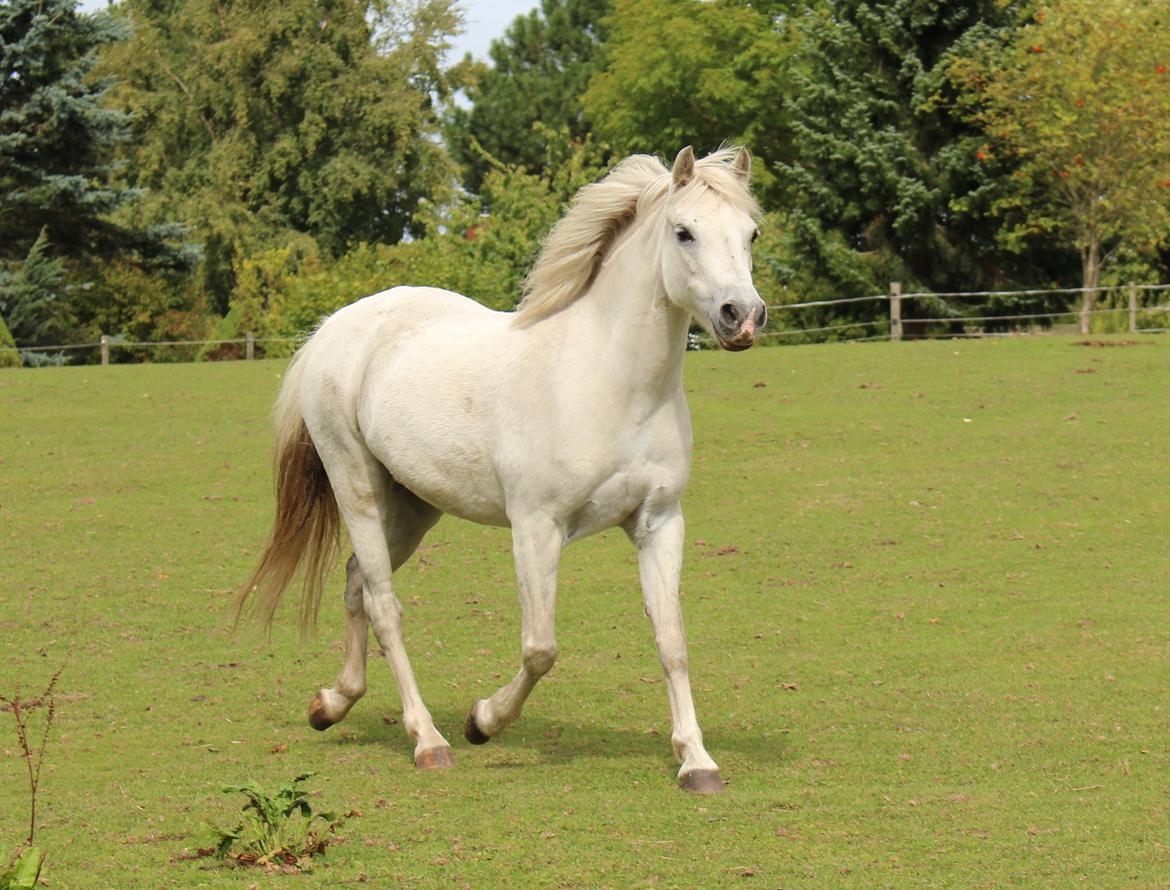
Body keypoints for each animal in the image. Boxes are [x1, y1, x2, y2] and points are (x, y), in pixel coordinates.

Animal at [238, 145, 766, 794]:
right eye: (683, 232)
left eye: (751, 233)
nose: (742, 316)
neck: (608, 381)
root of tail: (335, 328)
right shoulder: (537, 527)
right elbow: (541, 648)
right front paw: (482, 721)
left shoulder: (659, 522)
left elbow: (672, 640)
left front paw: (696, 761)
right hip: (355, 486)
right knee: (384, 604)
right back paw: (429, 741)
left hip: (412, 507)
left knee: (357, 581)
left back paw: (332, 703)